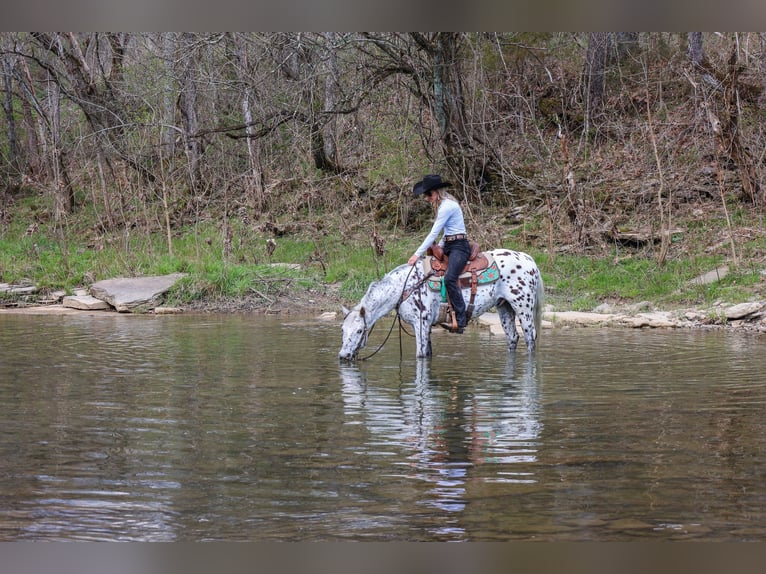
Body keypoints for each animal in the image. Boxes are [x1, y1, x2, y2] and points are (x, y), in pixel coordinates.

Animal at [340, 250, 544, 362]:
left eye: (359, 331)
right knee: (512, 338)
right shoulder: (426, 328)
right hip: (504, 307)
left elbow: (420, 356)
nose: (342, 356)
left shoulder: (421, 325)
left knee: (530, 338)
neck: (405, 286)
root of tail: (529, 260)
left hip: (523, 308)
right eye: (342, 329)